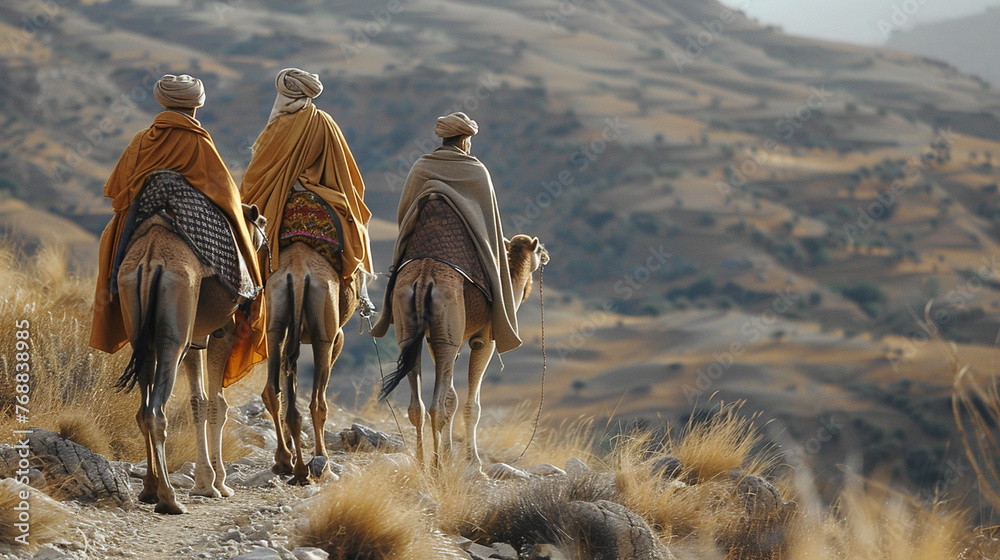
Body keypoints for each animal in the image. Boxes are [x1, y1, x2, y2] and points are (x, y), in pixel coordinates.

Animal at [116, 204, 266, 515]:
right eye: (262, 223)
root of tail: (150, 260)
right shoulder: (222, 332)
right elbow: (218, 403)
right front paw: (218, 483)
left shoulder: (197, 336)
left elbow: (199, 401)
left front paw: (204, 483)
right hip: (174, 338)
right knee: (156, 412)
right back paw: (169, 499)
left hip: (142, 335)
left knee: (143, 410)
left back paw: (150, 489)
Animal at [261, 242, 358, 485]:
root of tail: (297, 273)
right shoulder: (338, 337)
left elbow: (288, 389)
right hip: (324, 333)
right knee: (317, 401)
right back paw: (321, 463)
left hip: (274, 325)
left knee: (272, 391)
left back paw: (286, 462)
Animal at [379, 234, 548, 473]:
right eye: (539, 250)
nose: (547, 256)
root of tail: (423, 278)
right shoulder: (484, 339)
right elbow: (472, 404)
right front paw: (474, 463)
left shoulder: (441, 341)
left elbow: (451, 397)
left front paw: (449, 455)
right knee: (436, 406)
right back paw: (437, 468)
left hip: (410, 327)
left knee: (418, 405)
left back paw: (423, 464)